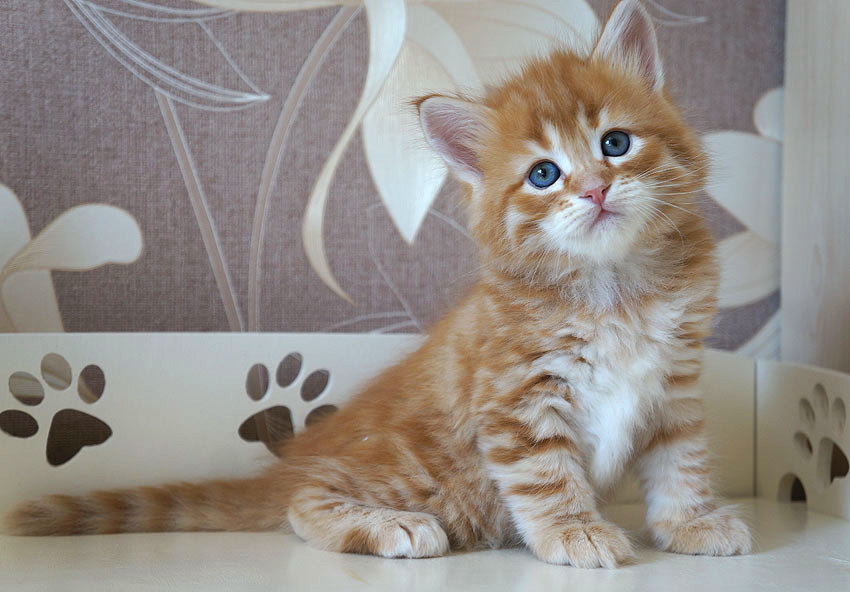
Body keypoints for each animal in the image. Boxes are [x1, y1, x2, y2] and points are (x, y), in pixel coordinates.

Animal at [5, 0, 751, 568]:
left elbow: (681, 462)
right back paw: (387, 526)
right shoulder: (517, 401)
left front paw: (691, 522)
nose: (595, 189)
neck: (614, 287)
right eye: (543, 174)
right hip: (418, 473)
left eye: (615, 143)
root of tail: (293, 460)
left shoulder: (674, 388)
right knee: (302, 505)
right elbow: (547, 476)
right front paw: (576, 531)